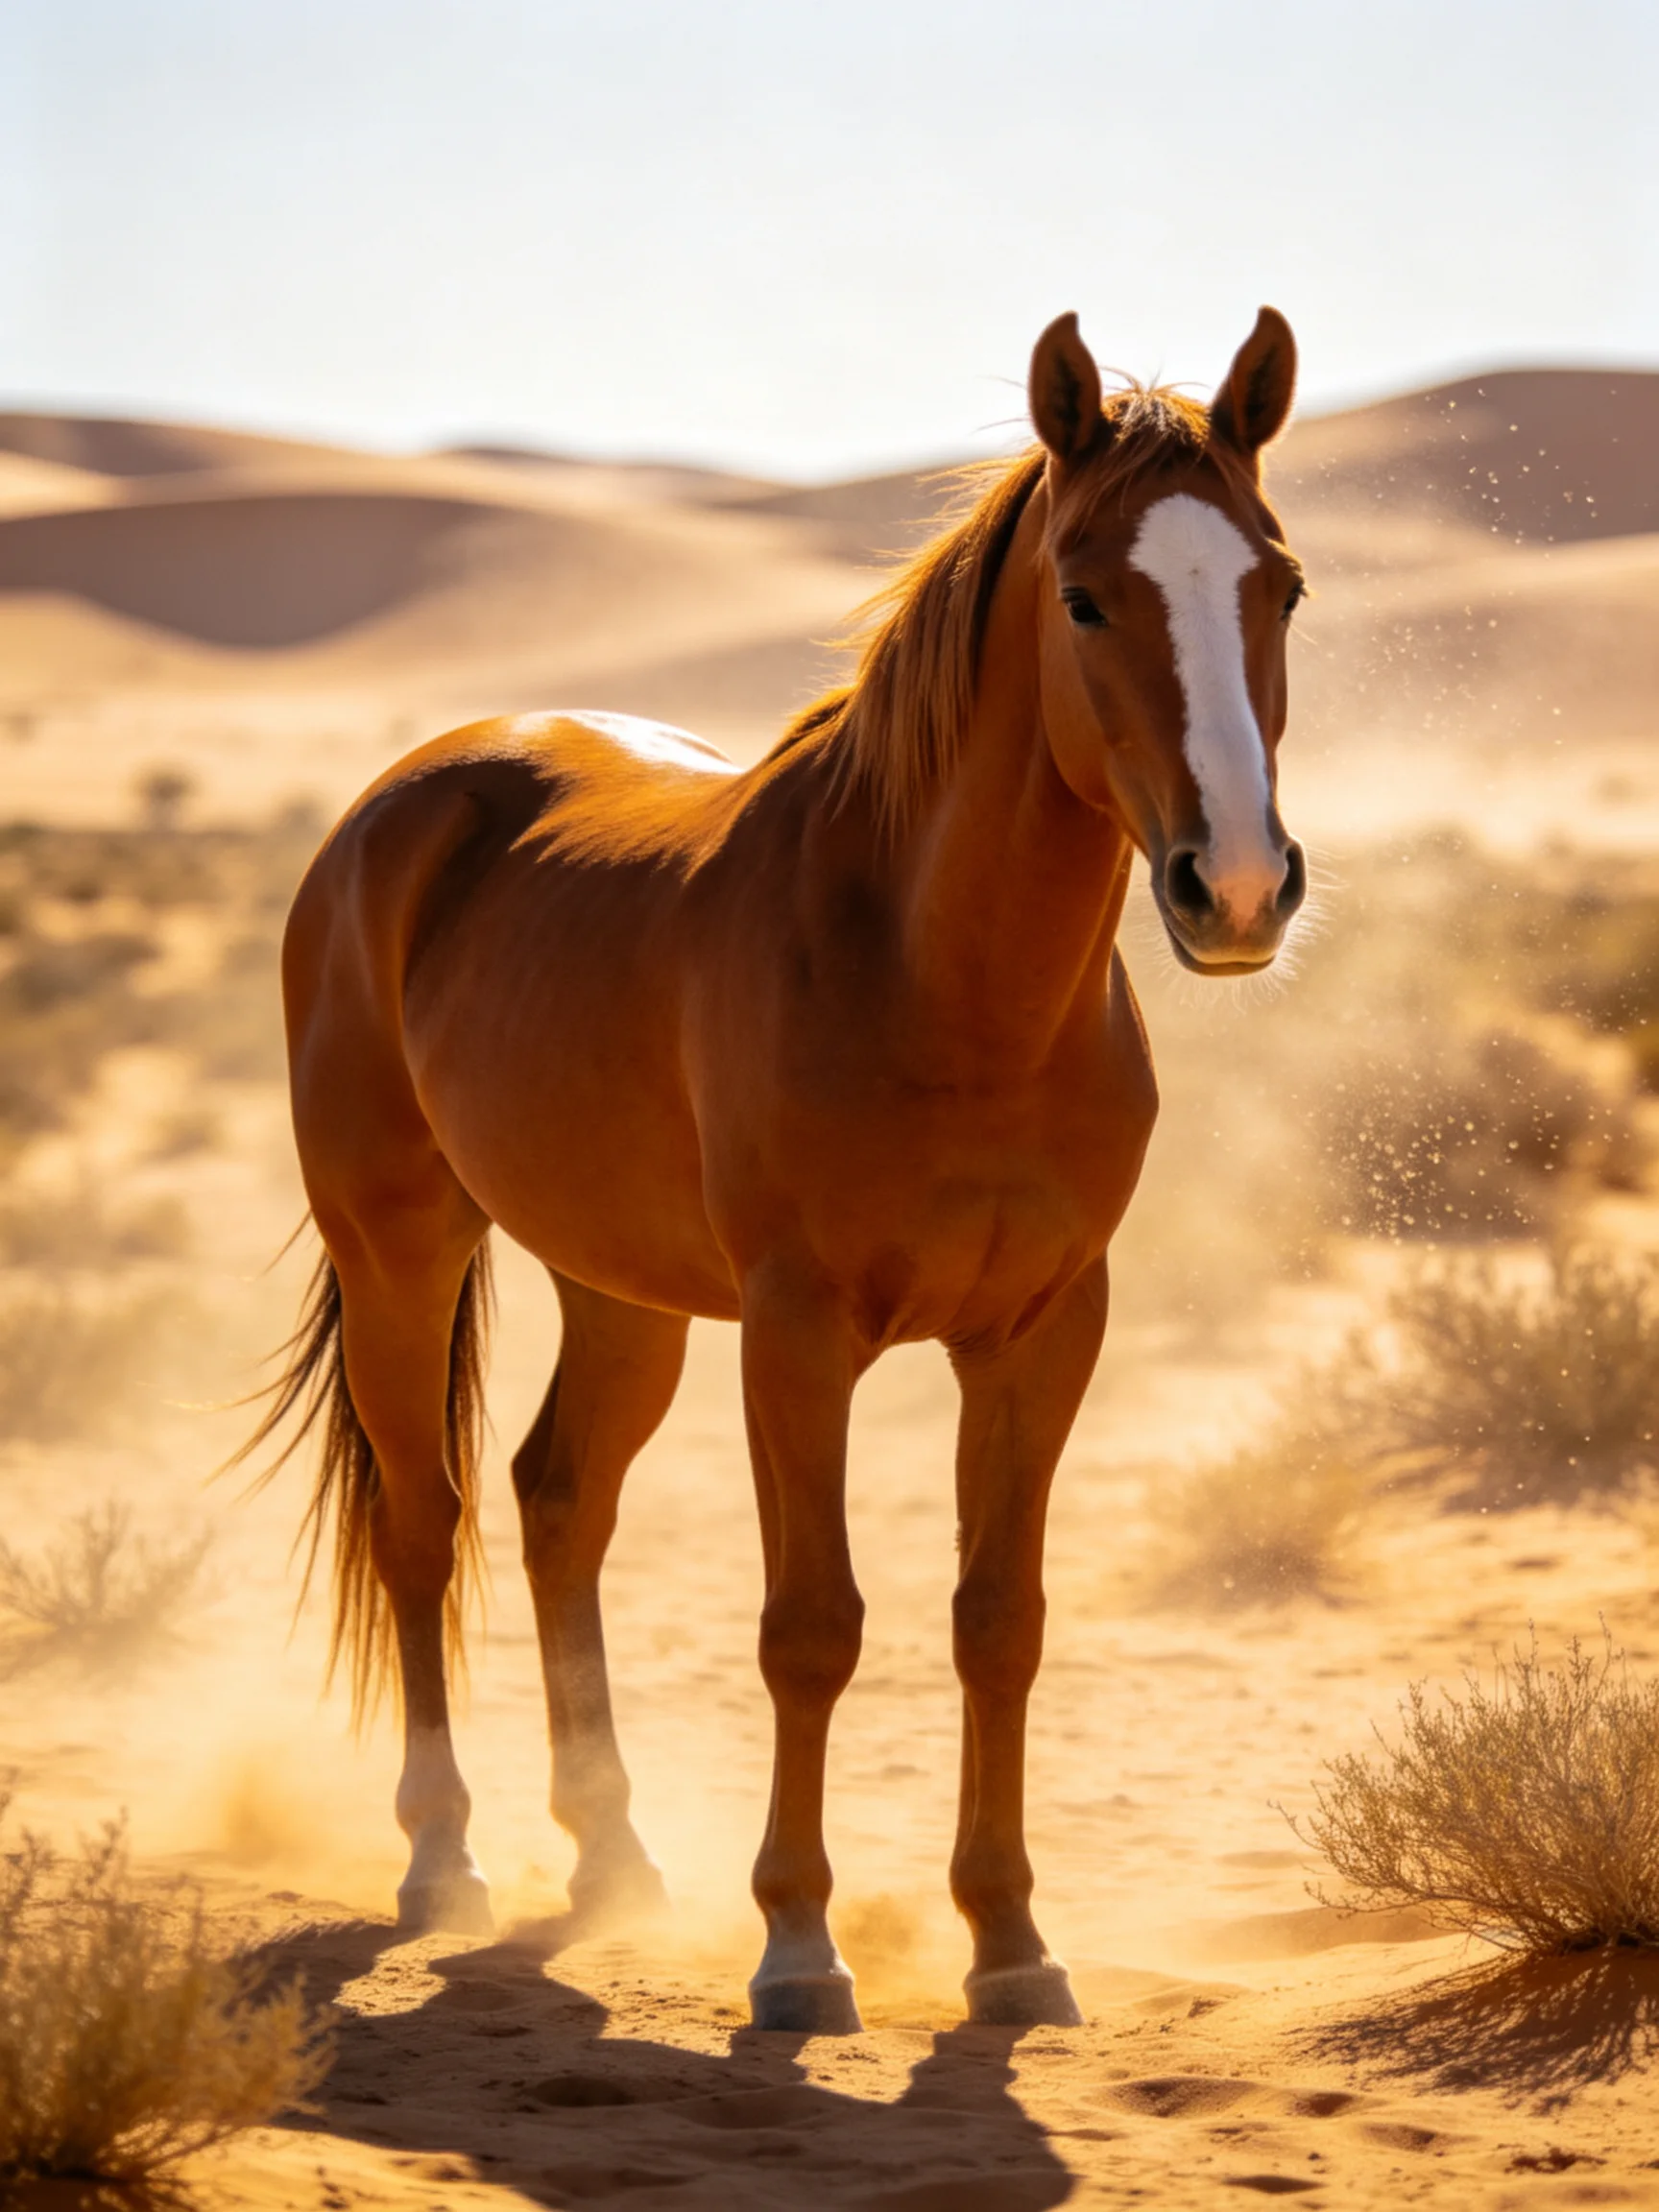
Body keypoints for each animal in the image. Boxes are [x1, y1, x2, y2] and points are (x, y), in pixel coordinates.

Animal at [251, 305, 1307, 2034]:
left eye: (1278, 585)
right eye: (1086, 595)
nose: (1231, 888)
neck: (941, 981)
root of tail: (409, 798)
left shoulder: (1041, 1333)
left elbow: (998, 1622)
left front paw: (1010, 1943)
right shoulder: (802, 1335)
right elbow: (813, 1626)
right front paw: (801, 1947)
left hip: (621, 1290)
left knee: (556, 1503)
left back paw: (612, 1859)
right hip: (397, 1243)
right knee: (425, 1518)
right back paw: (443, 1860)